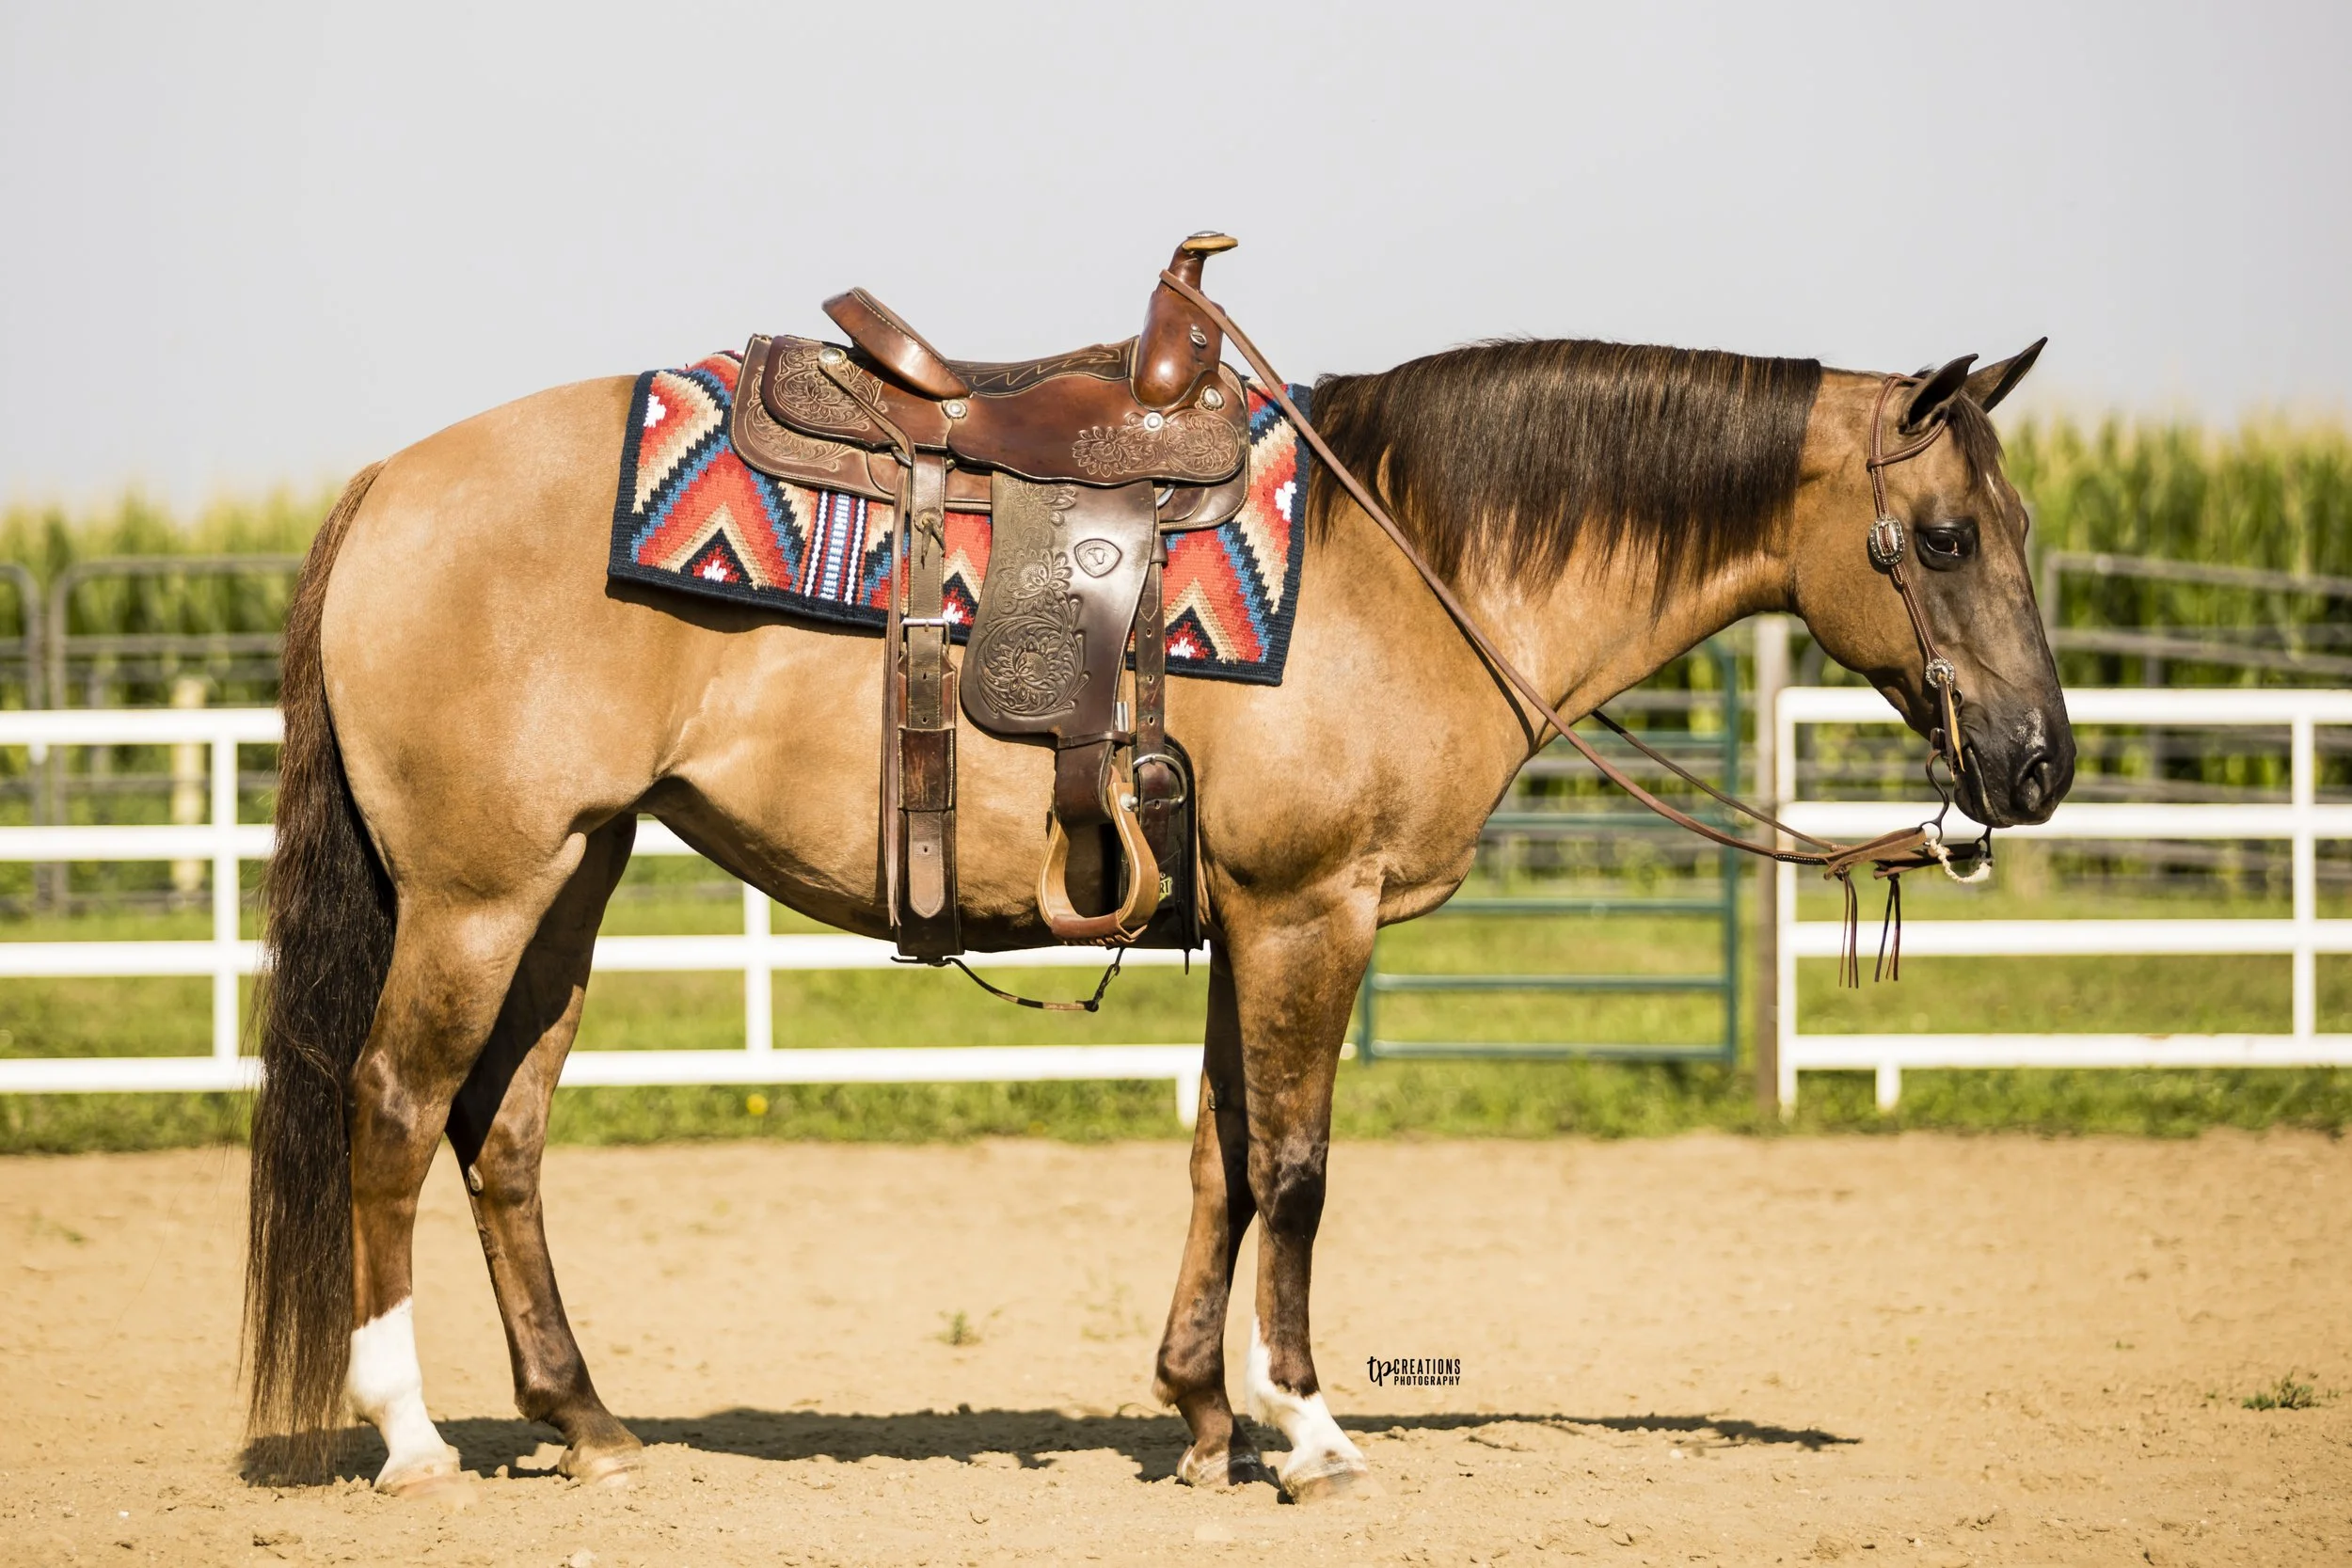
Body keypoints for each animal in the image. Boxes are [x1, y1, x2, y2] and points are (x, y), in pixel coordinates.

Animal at [243, 325, 2071, 1501]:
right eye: (1947, 535)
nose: (2041, 760)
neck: (1410, 562)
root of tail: (392, 481)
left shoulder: (1243, 917)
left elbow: (1221, 1159)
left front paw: (1203, 1414)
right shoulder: (1314, 910)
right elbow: (1300, 1168)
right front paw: (1312, 1432)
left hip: (574, 875)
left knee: (503, 1129)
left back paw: (589, 1422)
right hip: (479, 889)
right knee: (394, 1107)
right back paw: (413, 1440)